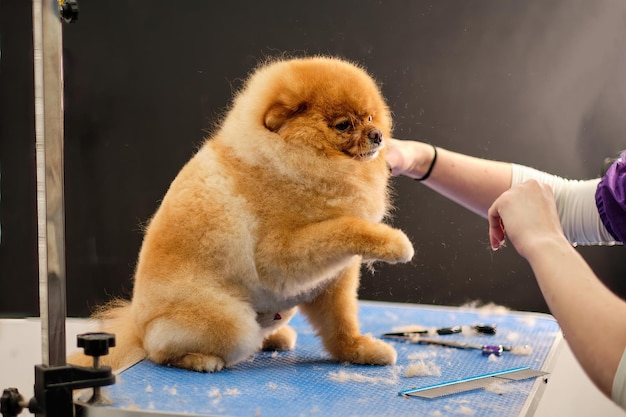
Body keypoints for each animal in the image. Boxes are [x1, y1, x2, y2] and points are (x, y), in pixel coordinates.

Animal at [68, 55, 412, 370]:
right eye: (343, 125)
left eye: (370, 116)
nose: (378, 134)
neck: (297, 162)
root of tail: (137, 328)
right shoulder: (278, 258)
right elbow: (345, 227)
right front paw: (395, 244)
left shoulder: (334, 279)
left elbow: (340, 323)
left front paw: (359, 350)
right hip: (231, 322)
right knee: (160, 351)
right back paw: (200, 359)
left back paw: (274, 337)